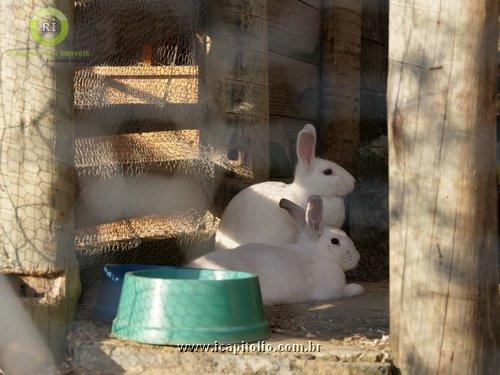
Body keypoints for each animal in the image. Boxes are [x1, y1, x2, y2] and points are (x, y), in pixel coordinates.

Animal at [188, 195, 364, 306]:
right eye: (335, 241)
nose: (357, 257)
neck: (316, 254)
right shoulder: (331, 291)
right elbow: (344, 291)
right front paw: (358, 289)